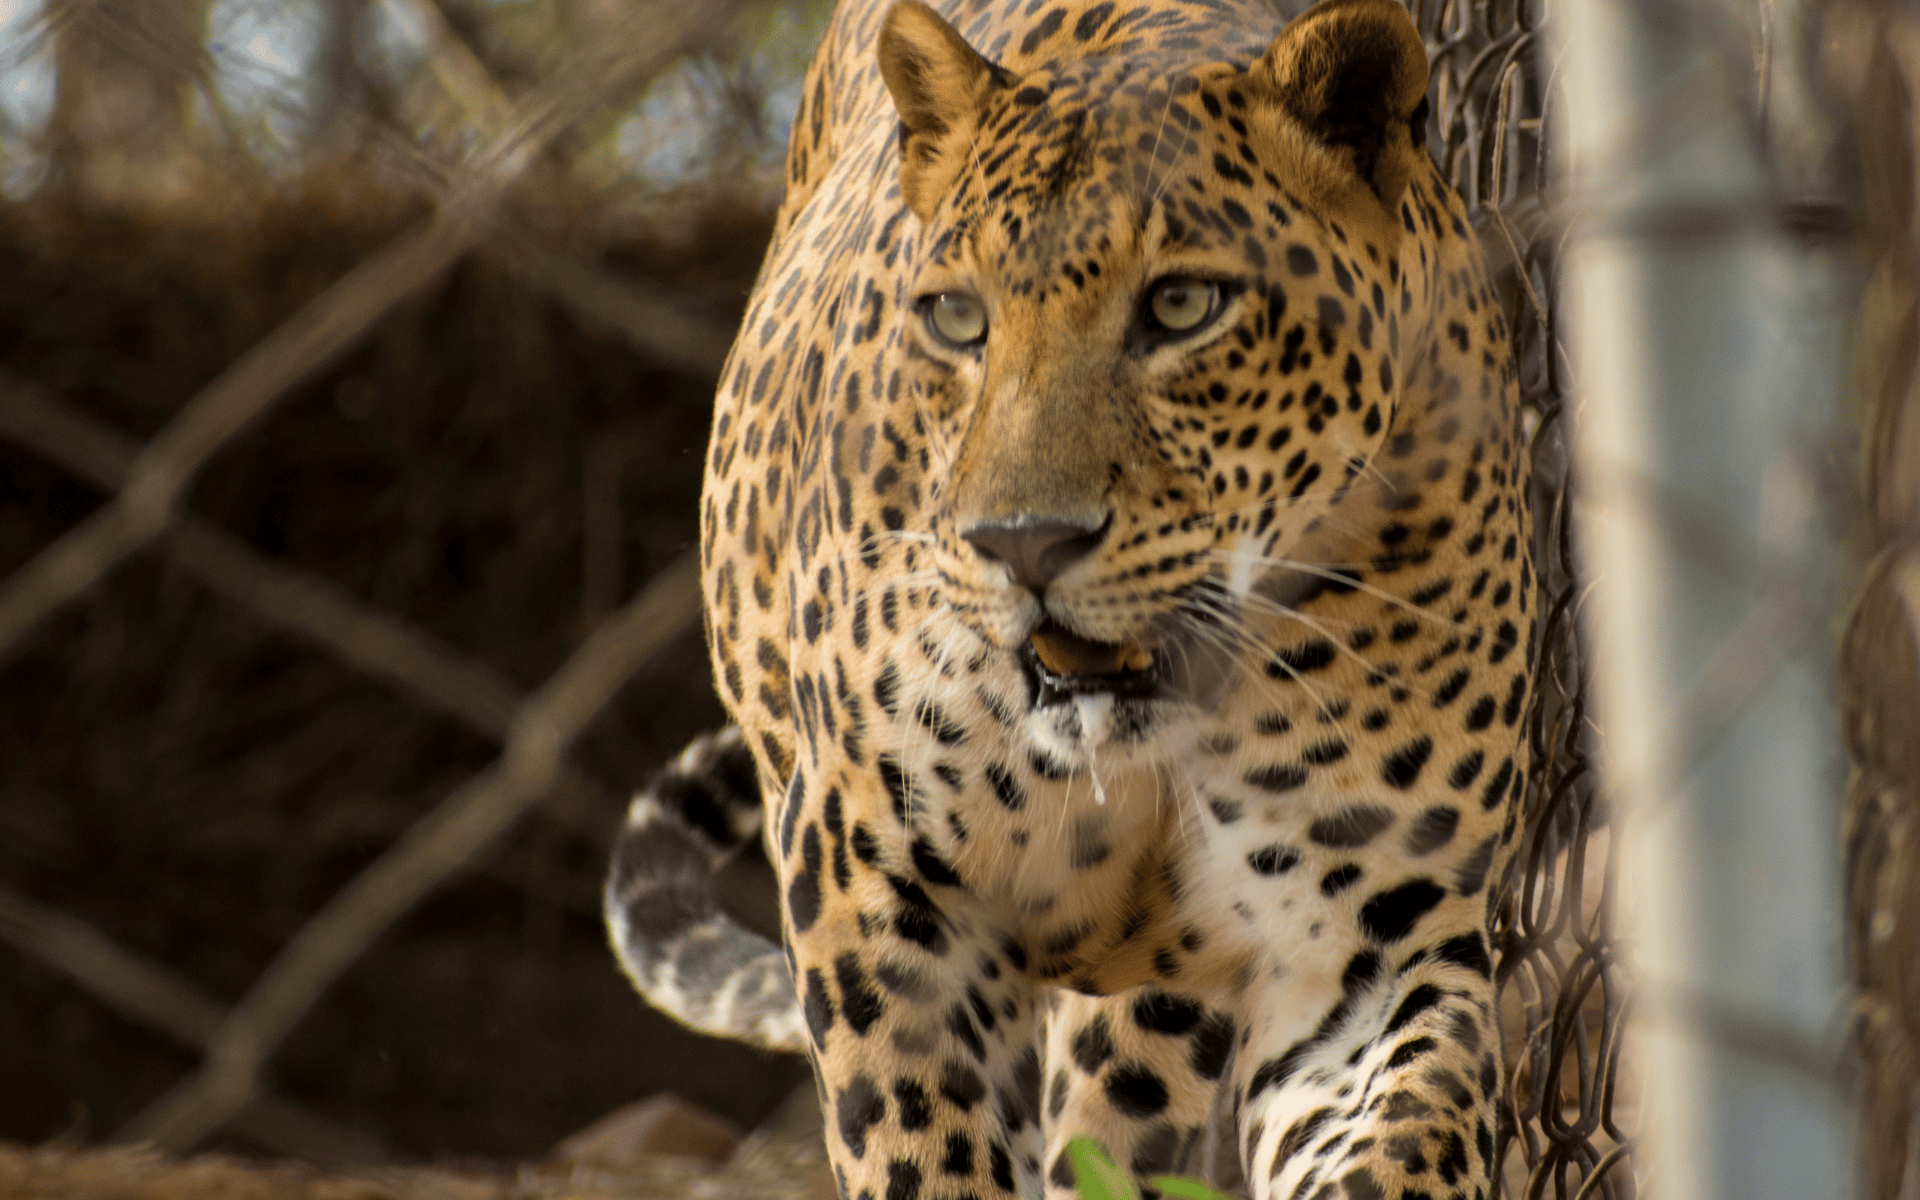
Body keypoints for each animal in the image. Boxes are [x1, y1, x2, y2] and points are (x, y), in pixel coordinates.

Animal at [604, 0, 1536, 1197]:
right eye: (958, 319)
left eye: (1183, 305)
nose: (1024, 544)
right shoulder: (876, 888)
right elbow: (920, 1148)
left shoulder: (1368, 947)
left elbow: (1406, 1136)